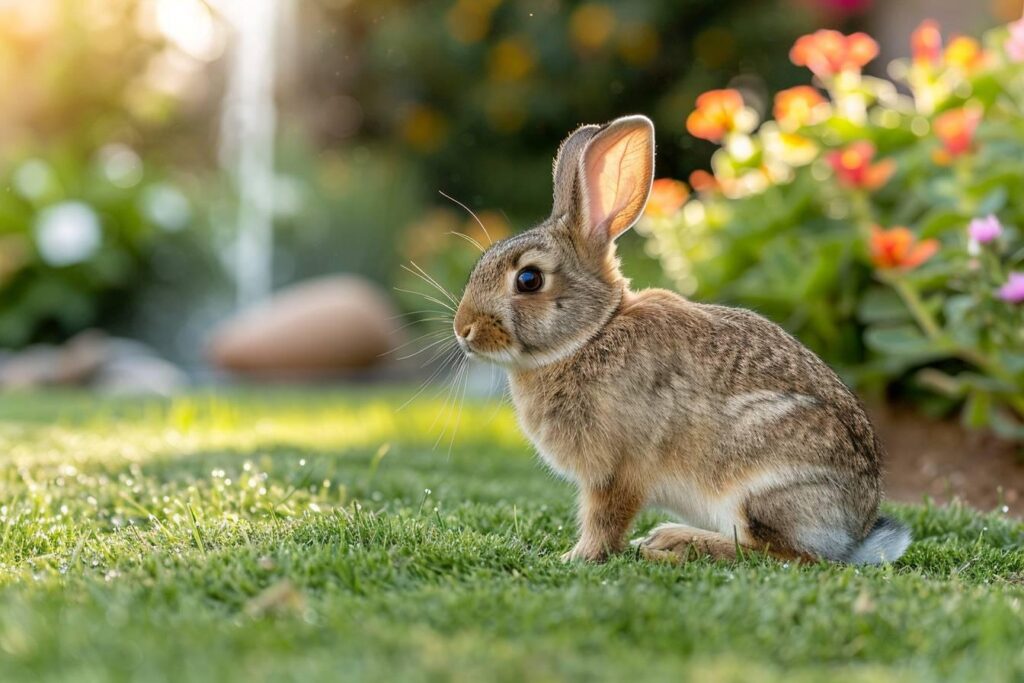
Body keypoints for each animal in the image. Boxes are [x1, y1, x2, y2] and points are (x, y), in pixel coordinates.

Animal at [452, 114, 909, 565]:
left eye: (529, 279)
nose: (463, 330)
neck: (591, 334)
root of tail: (856, 534)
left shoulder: (618, 471)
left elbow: (605, 521)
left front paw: (575, 557)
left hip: (760, 482)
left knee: (779, 553)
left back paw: (674, 547)